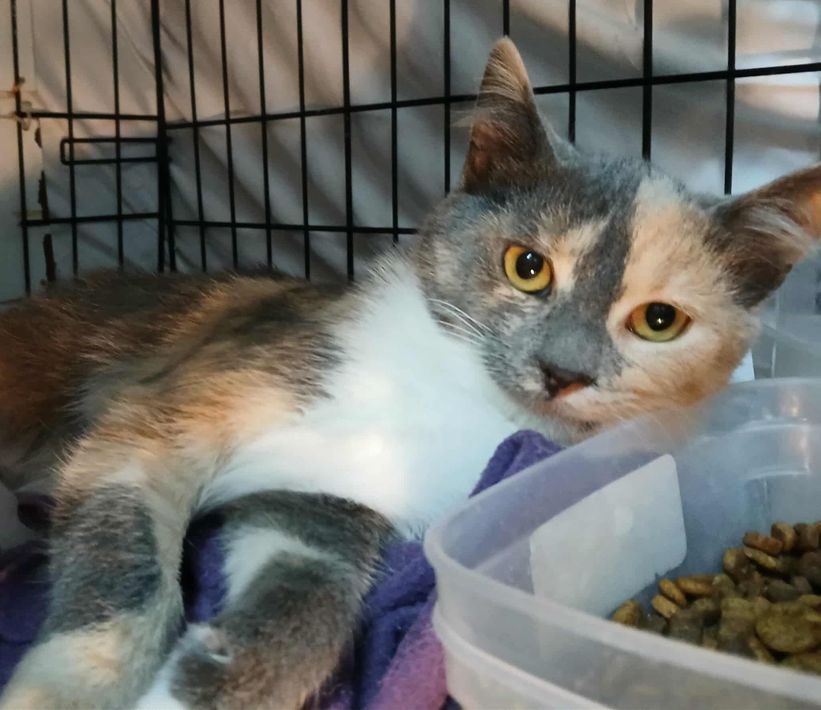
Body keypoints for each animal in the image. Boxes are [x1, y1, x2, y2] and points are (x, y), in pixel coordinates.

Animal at [0, 38, 819, 709]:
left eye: (659, 321)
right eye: (527, 267)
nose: (562, 371)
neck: (456, 399)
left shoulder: (323, 496)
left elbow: (313, 594)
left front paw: (200, 684)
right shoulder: (168, 405)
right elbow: (122, 559)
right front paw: (66, 692)